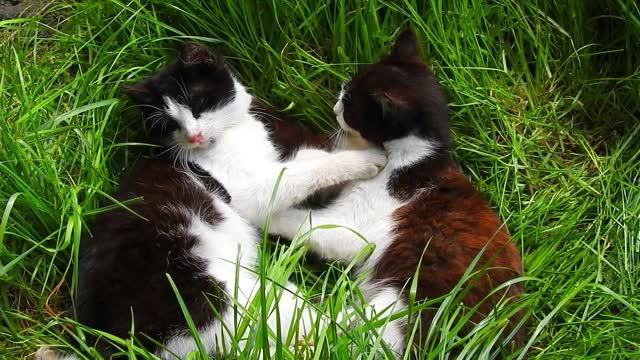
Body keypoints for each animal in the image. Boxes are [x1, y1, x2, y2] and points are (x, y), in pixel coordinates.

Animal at [45, 43, 388, 358]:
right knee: (321, 325)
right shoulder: (250, 190)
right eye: (170, 125)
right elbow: (305, 171)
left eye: (197, 104)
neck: (231, 133)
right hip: (224, 297)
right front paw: (366, 159)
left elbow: (305, 162)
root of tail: (107, 343)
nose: (193, 136)